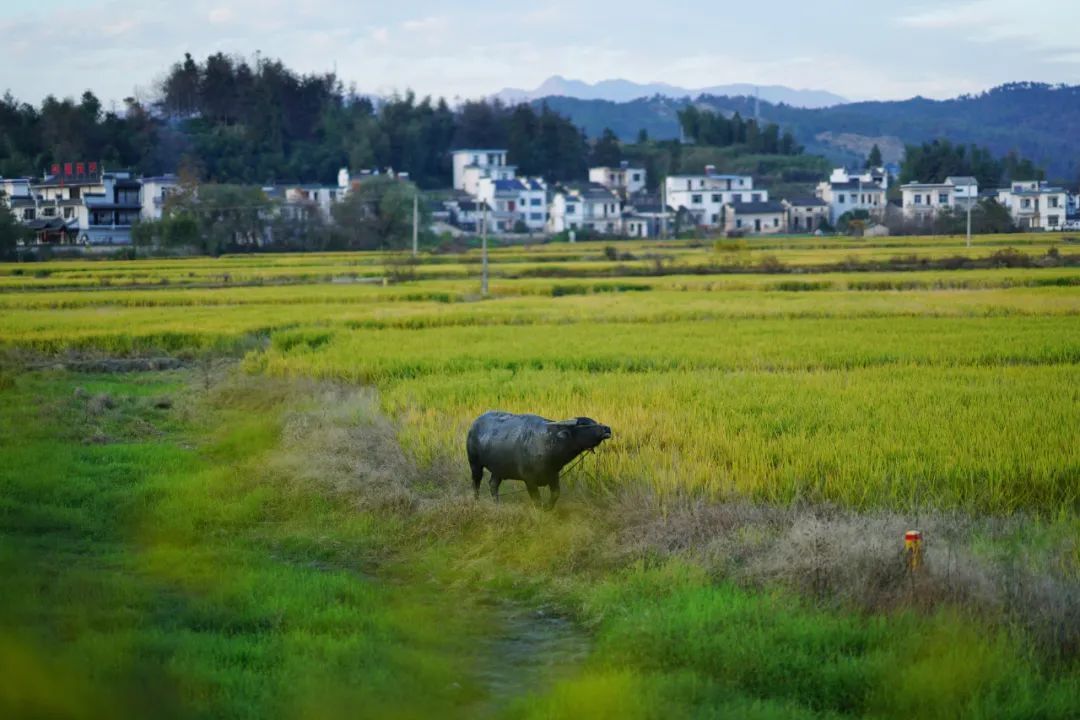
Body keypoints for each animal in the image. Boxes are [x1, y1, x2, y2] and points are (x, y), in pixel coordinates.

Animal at [468, 414, 613, 509]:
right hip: (475, 465)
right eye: (583, 424)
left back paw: (497, 504)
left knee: (493, 484)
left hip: (498, 469)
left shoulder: (553, 475)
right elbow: (537, 500)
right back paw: (476, 502)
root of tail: (474, 425)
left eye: (593, 421)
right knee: (476, 484)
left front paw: (548, 507)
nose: (607, 428)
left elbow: (555, 494)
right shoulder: (529, 480)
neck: (550, 443)